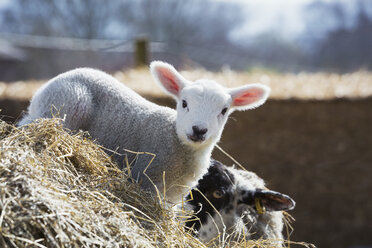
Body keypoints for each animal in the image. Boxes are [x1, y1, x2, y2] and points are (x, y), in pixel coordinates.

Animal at [18, 62, 270, 203]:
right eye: (184, 103)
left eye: (224, 110)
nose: (199, 130)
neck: (175, 141)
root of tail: (42, 89)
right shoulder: (148, 179)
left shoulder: (173, 195)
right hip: (63, 107)